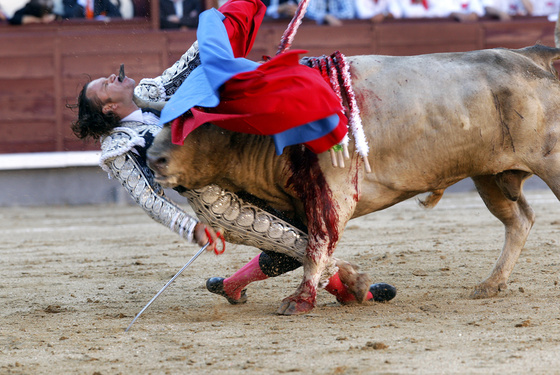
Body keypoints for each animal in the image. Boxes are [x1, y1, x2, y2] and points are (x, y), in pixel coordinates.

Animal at [149, 32, 560, 316]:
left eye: (199, 119)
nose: (153, 158)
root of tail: (532, 56)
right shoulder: (291, 205)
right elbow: (286, 251)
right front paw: (354, 287)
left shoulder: (333, 194)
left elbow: (314, 247)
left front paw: (300, 300)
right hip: (489, 176)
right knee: (519, 220)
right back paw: (491, 284)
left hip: (549, 164)